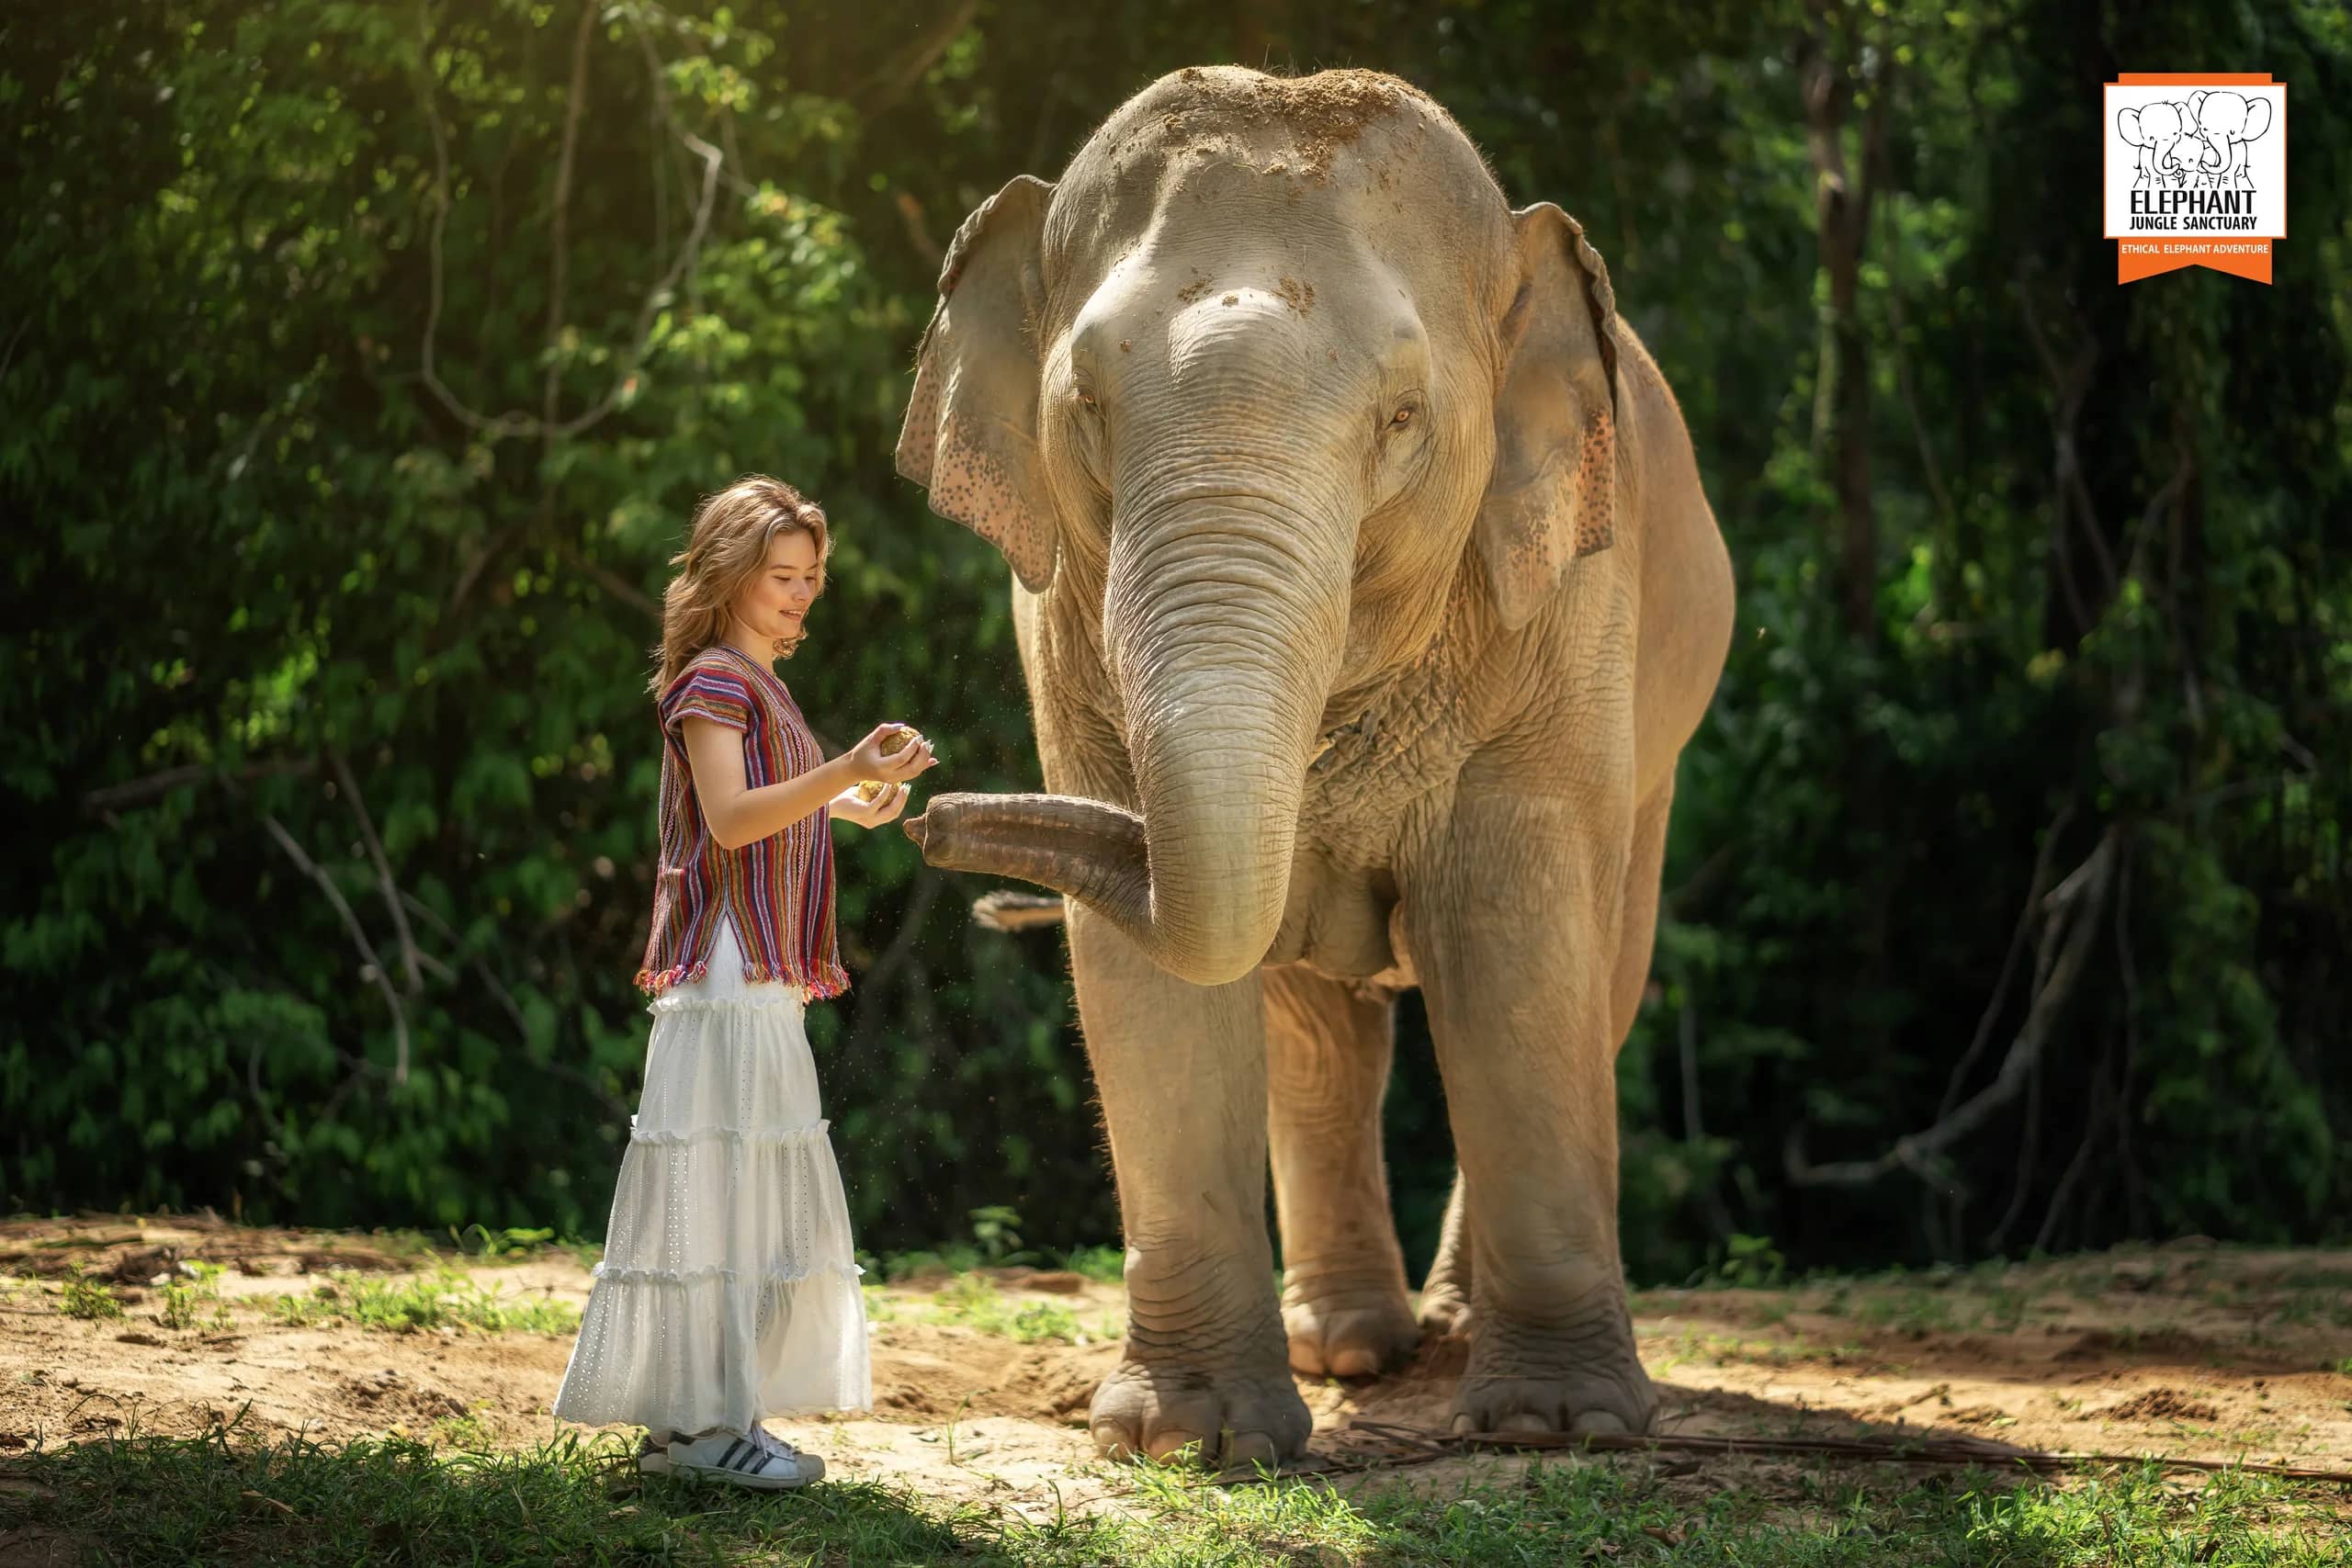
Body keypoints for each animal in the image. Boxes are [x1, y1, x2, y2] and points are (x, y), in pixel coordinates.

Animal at [893, 66, 1734, 1466]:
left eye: (1402, 418)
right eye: (1083, 409)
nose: (931, 812)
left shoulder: (1563, 613)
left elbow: (1515, 943)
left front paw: (1556, 1425)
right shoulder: (1064, 631)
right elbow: (1149, 981)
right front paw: (1184, 1440)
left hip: (1660, 745)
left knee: (1596, 971)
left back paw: (1447, 1330)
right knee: (1315, 1027)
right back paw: (1345, 1347)